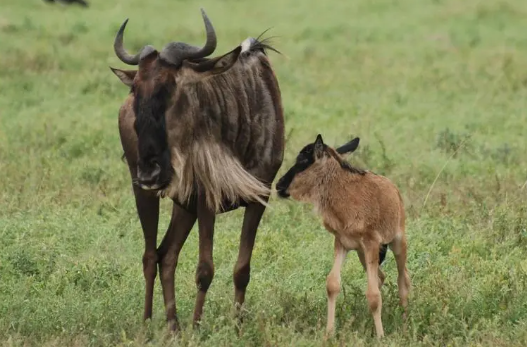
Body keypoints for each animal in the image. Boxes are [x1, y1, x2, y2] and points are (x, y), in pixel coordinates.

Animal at [276, 135, 412, 338]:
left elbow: (373, 295)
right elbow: (332, 284)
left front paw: (381, 337)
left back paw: (404, 323)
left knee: (403, 280)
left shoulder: (371, 242)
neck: (344, 195)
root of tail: (394, 190)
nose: (279, 185)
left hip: (397, 242)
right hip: (363, 254)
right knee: (381, 277)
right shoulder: (342, 243)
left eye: (302, 161)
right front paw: (329, 333)